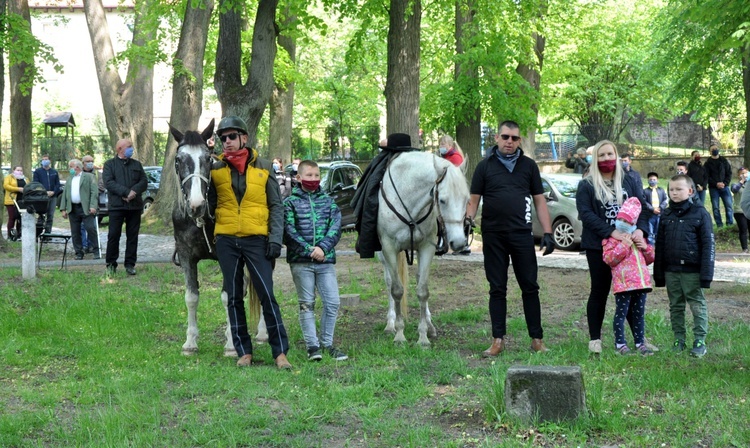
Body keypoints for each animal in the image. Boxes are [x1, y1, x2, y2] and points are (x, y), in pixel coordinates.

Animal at [382, 151, 470, 346]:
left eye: (467, 200)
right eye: (442, 200)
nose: (460, 243)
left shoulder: (426, 248)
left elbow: (423, 291)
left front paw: (422, 337)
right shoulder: (388, 247)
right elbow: (397, 290)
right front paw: (400, 335)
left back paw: (429, 325)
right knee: (390, 282)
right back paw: (390, 323)